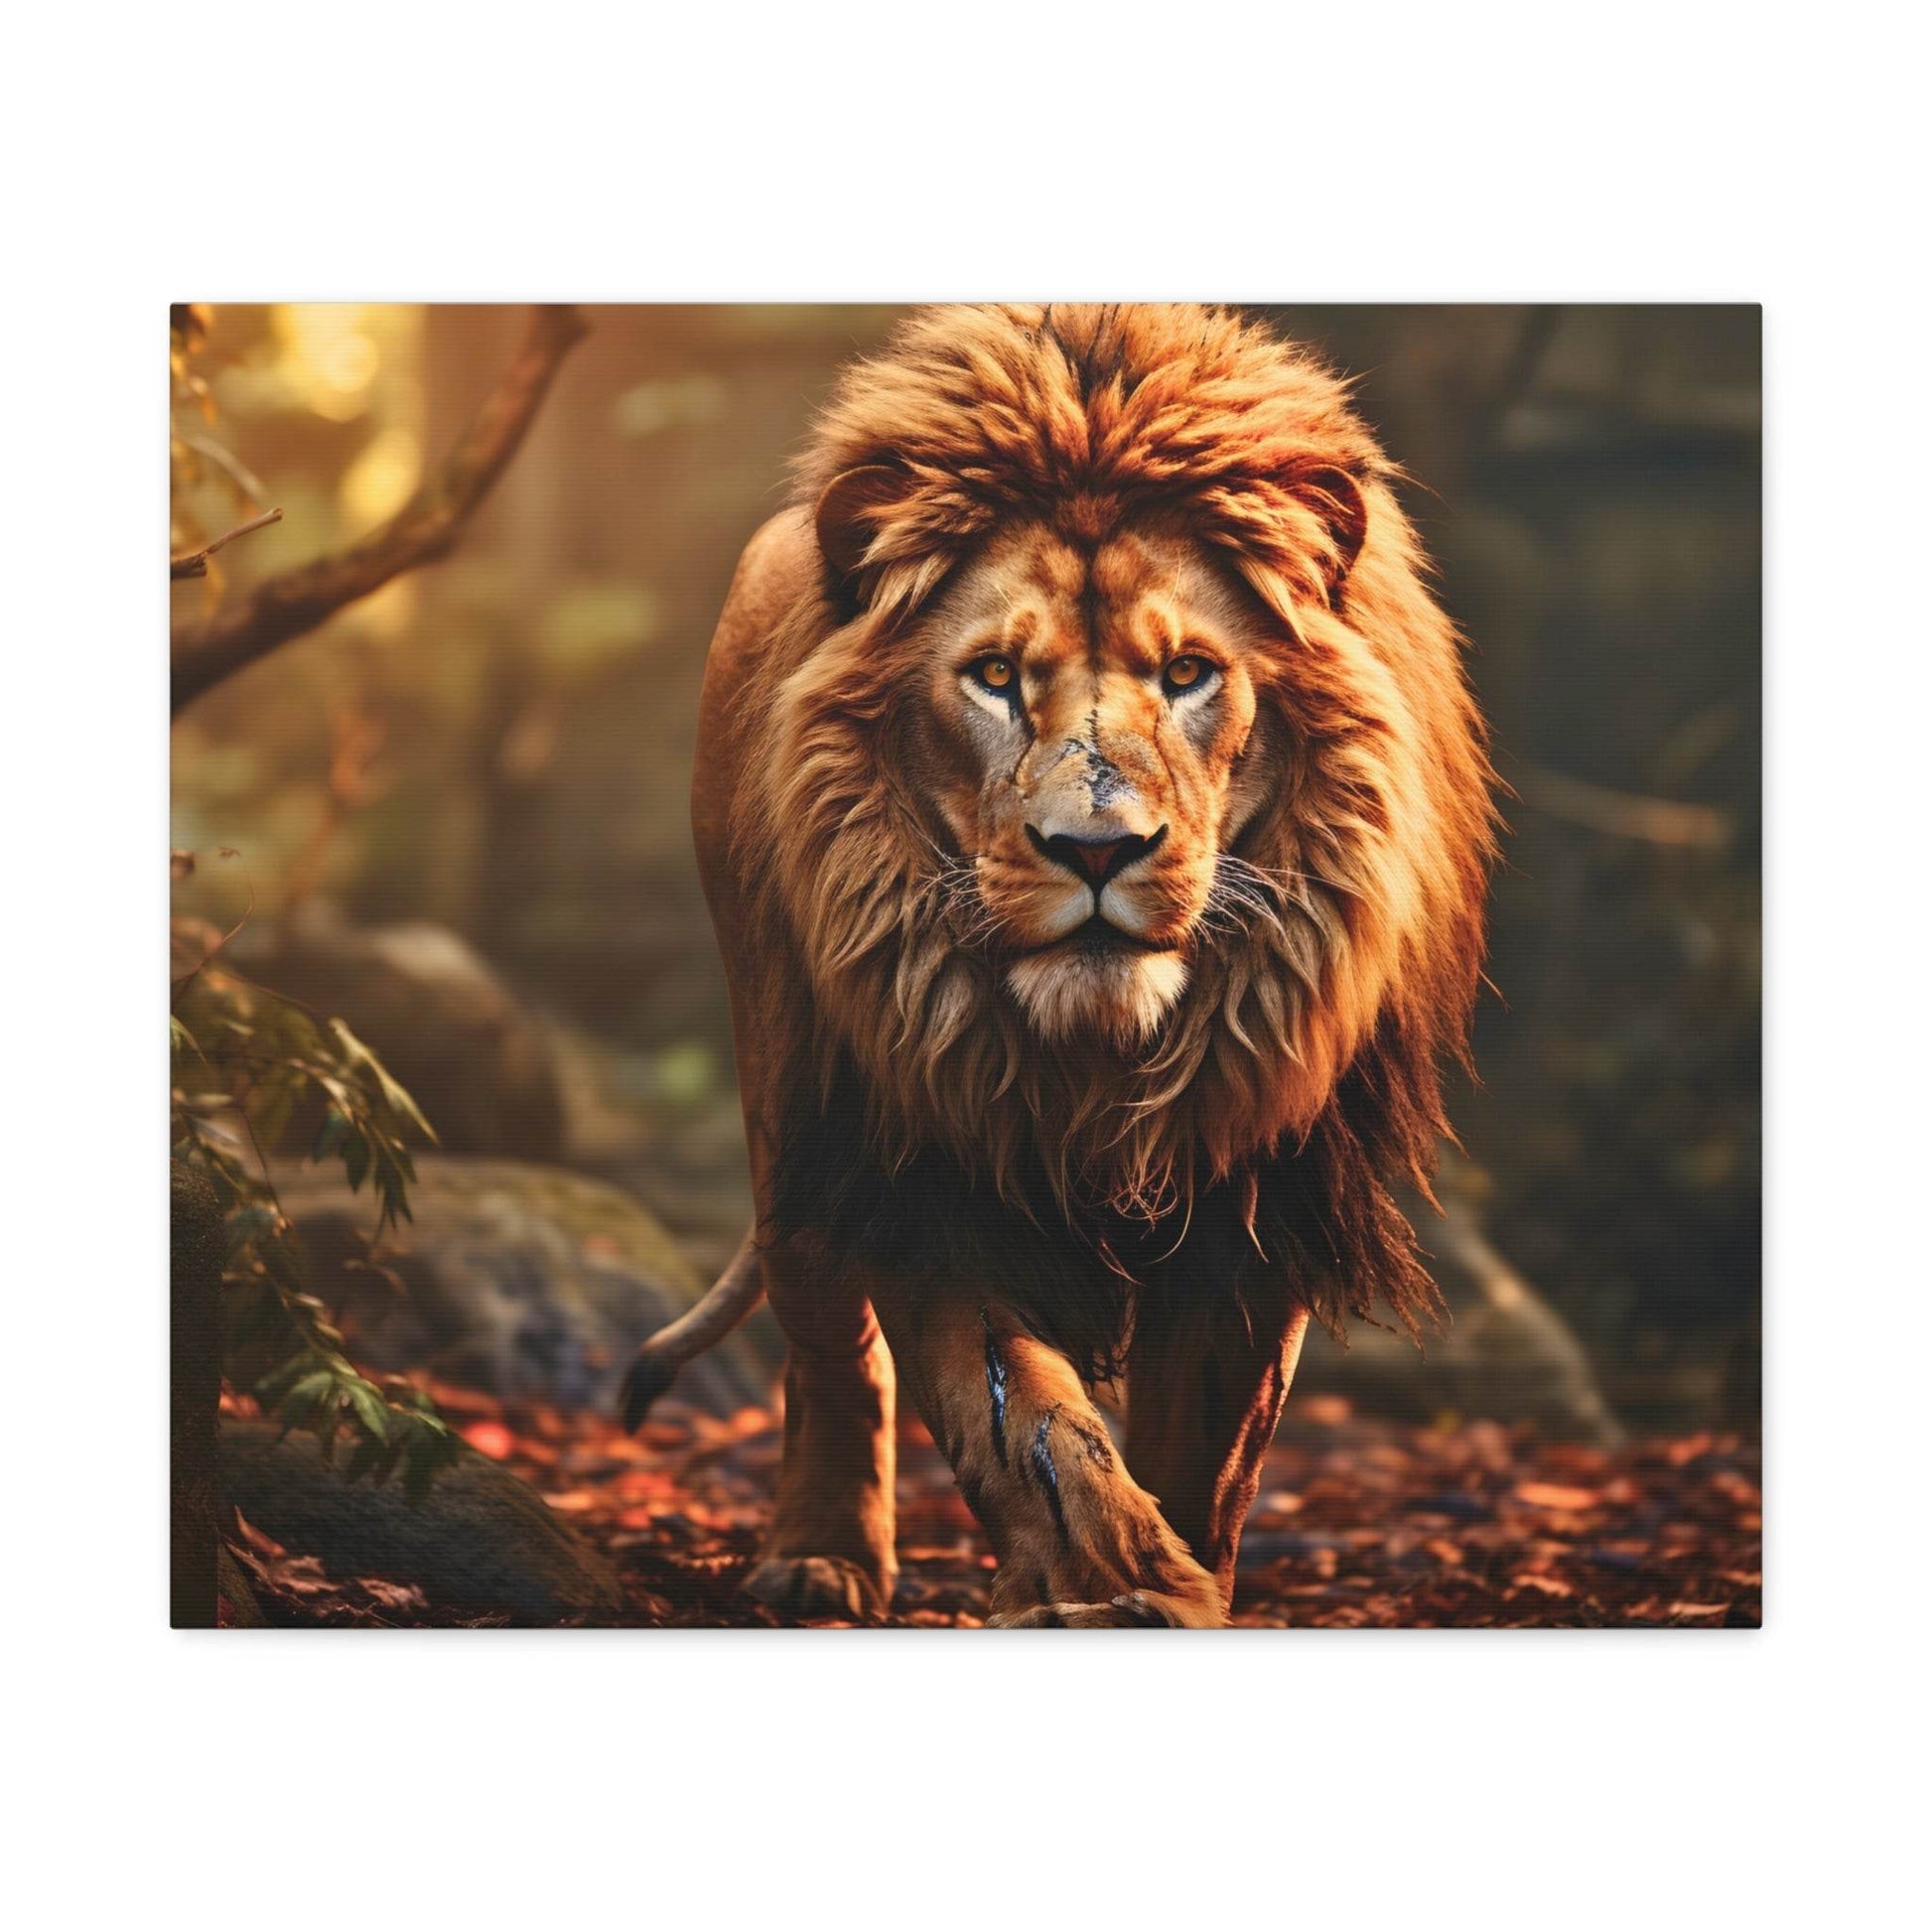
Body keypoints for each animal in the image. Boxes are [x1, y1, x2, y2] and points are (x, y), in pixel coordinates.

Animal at [621, 304, 1496, 1626]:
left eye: (1186, 673)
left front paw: (1176, 1585)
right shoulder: (928, 1154)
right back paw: (818, 1557)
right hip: (788, 1086)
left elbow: (1206, 1454)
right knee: (826, 1334)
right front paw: (1104, 1581)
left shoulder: (1258, 1185)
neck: (1101, 1058)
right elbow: (1021, 1420)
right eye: (994, 675)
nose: (1095, 848)